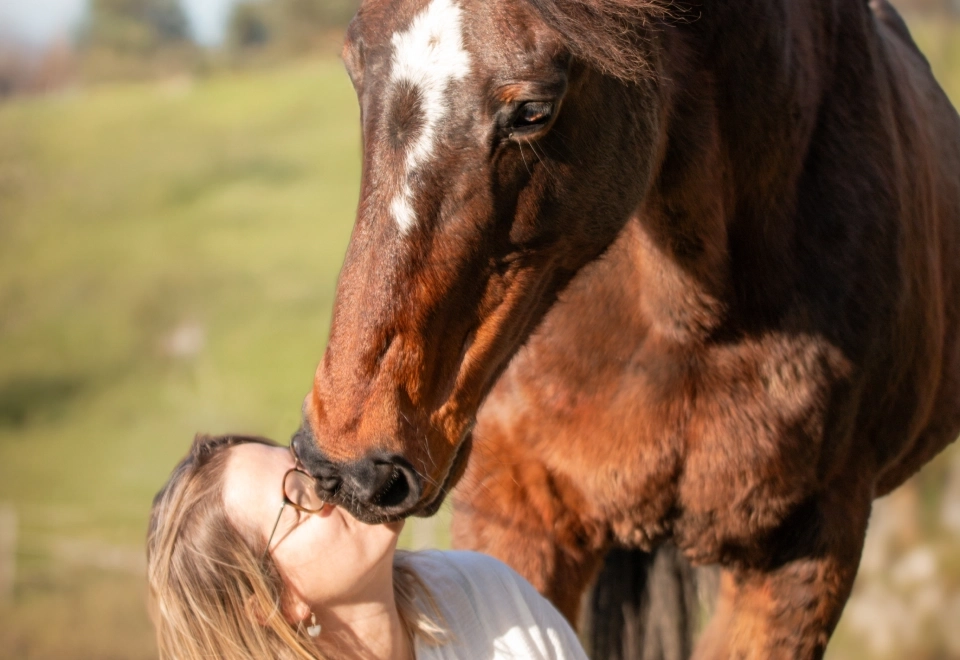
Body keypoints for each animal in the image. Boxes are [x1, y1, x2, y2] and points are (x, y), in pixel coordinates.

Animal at [290, 0, 960, 656]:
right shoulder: (516, 507)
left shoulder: (806, 553)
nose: (348, 467)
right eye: (354, 67)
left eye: (534, 110)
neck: (687, 315)